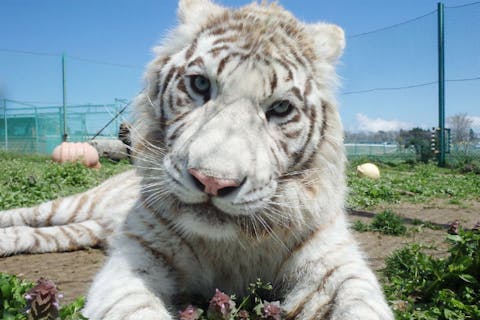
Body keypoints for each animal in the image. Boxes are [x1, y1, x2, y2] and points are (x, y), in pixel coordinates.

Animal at [0, 1, 392, 318]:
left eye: (280, 108)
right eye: (201, 85)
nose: (213, 181)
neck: (232, 244)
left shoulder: (334, 265)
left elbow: (361, 305)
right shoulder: (138, 257)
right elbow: (134, 309)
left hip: (88, 228)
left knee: (39, 235)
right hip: (76, 205)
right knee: (28, 215)